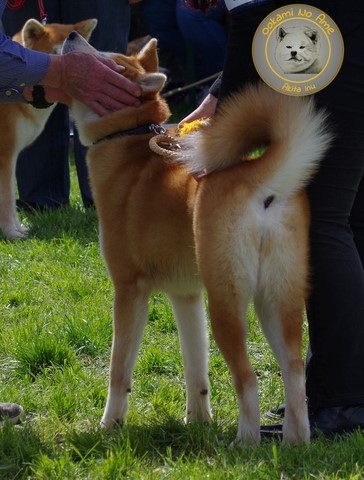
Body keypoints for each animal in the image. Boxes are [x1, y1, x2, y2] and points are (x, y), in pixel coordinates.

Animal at [63, 31, 332, 444]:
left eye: (111, 61)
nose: (74, 34)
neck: (128, 144)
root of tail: (259, 179)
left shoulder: (129, 289)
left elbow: (118, 370)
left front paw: (109, 425)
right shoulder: (185, 295)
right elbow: (195, 369)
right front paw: (198, 421)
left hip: (227, 299)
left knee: (248, 378)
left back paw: (245, 442)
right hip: (277, 298)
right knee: (294, 372)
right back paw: (295, 441)